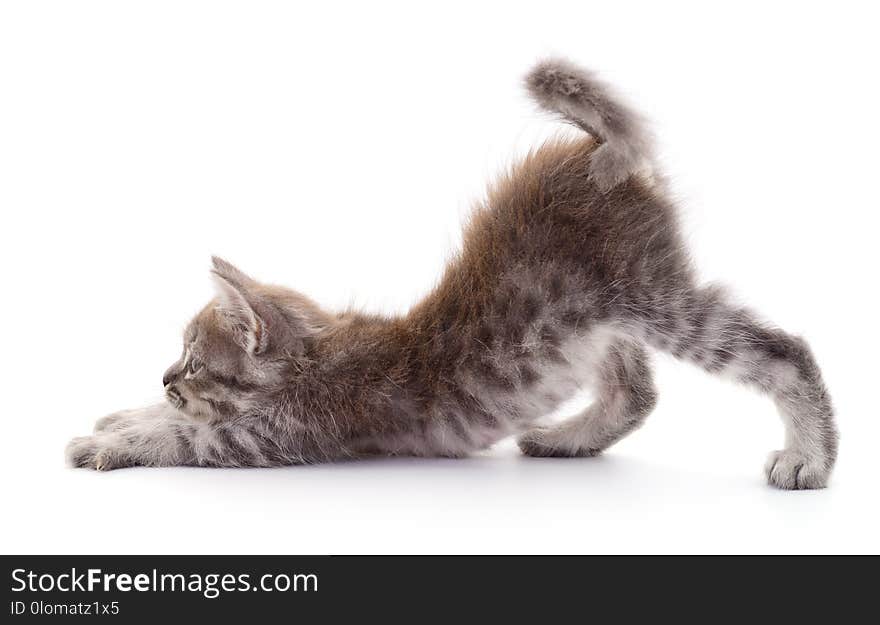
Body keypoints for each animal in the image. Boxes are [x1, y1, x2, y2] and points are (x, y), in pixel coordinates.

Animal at [65, 58, 836, 488]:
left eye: (194, 361)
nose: (166, 375)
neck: (318, 353)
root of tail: (596, 151)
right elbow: (171, 422)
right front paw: (126, 412)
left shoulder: (279, 435)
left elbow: (187, 435)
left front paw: (109, 440)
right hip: (591, 319)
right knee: (636, 391)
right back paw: (567, 438)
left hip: (651, 296)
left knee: (782, 352)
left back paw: (810, 459)